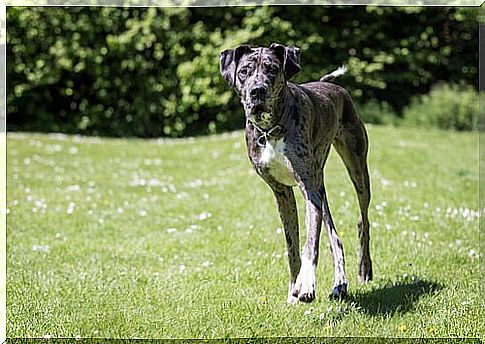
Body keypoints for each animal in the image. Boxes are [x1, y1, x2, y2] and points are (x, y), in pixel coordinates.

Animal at [218, 43, 370, 304]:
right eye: (244, 71)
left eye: (272, 69)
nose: (257, 91)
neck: (270, 130)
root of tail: (332, 86)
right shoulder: (282, 193)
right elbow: (292, 248)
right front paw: (293, 290)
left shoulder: (307, 189)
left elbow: (310, 243)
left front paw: (306, 283)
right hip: (320, 185)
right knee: (335, 236)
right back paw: (339, 284)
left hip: (356, 168)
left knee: (363, 221)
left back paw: (364, 269)